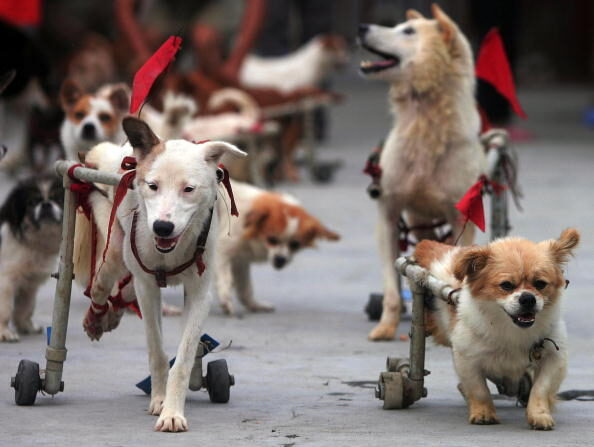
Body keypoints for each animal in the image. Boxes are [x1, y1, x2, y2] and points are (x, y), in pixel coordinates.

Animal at [0, 175, 63, 344]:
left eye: (58, 199)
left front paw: (26, 326)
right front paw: (4, 333)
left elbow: (26, 308)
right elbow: (5, 309)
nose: (46, 204)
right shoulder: (5, 281)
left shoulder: (29, 283)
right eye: (32, 202)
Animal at [216, 179, 338, 316]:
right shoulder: (222, 251)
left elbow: (245, 288)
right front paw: (225, 299)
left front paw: (254, 305)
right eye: (272, 240)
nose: (280, 259)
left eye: (295, 244)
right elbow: (225, 278)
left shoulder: (240, 260)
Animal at [356, 3, 486, 342]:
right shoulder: (388, 215)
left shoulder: (462, 219)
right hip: (416, 221)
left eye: (408, 31)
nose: (361, 27)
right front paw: (385, 326)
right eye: (400, 27)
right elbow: (391, 284)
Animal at [412, 229, 580, 432]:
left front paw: (539, 414)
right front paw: (484, 413)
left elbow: (540, 388)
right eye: (506, 285)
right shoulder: (467, 359)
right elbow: (479, 389)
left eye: (540, 284)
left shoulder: (554, 358)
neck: (511, 329)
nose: (528, 298)